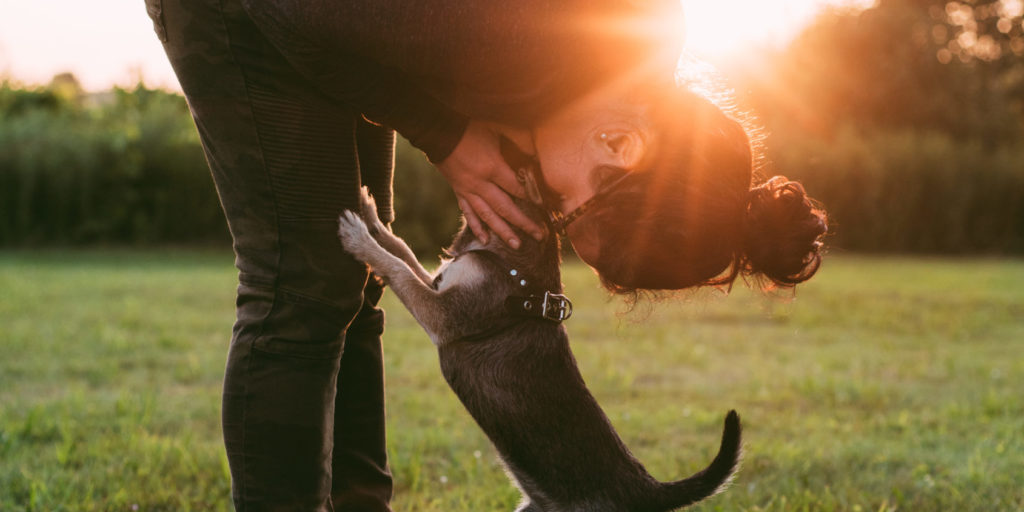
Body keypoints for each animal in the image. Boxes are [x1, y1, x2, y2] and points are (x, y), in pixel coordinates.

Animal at [339, 188, 741, 512]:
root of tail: (645, 489)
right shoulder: (437, 285)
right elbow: (401, 249)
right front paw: (372, 217)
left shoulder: (441, 314)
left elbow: (398, 269)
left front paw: (360, 239)